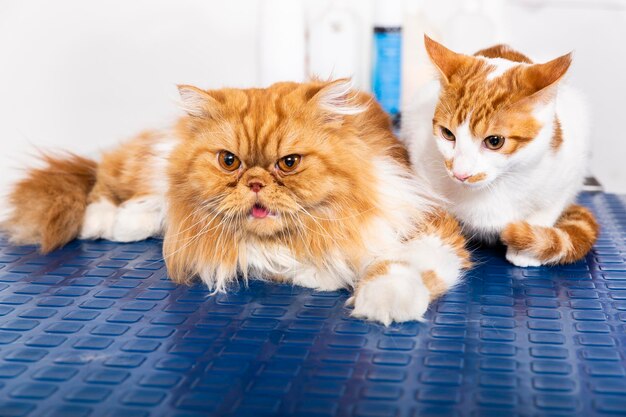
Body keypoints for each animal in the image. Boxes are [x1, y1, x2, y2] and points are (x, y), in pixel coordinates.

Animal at [1, 79, 468, 324]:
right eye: (230, 162)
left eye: (289, 163)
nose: (256, 182)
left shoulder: (429, 222)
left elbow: (404, 265)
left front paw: (383, 299)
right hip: (148, 163)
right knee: (103, 177)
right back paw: (106, 221)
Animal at [402, 36, 596, 266]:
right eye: (447, 134)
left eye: (494, 141)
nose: (460, 173)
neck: (493, 189)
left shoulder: (567, 171)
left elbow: (546, 211)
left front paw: (526, 250)